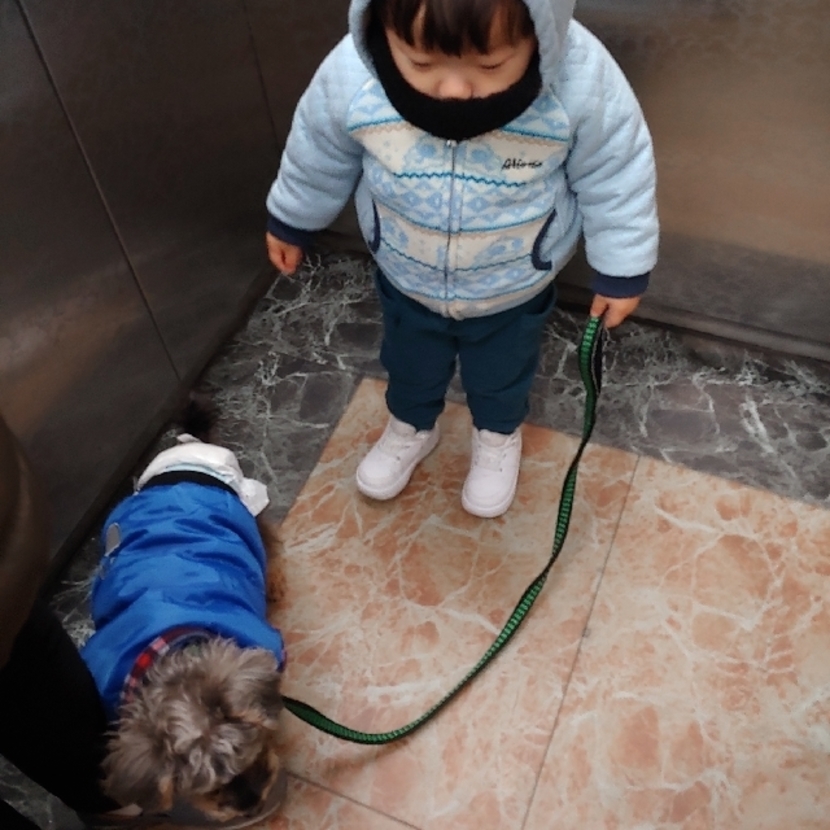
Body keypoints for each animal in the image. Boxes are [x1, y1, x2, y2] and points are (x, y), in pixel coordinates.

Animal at [81, 398, 287, 826]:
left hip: (246, 504)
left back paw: (273, 577)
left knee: (269, 538)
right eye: (204, 789)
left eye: (252, 755)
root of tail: (190, 447)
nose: (252, 805)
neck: (175, 649)